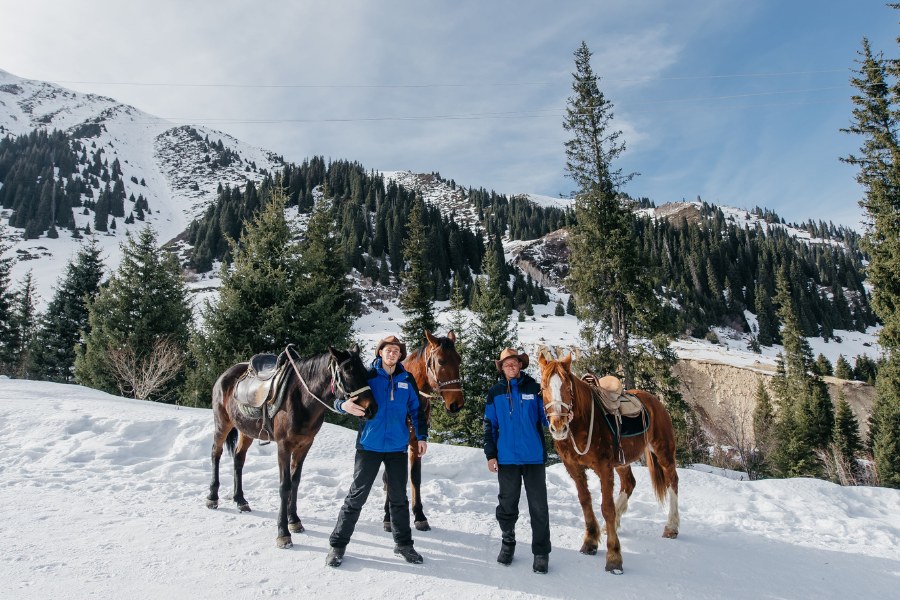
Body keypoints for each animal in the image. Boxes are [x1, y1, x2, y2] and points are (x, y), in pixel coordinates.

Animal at [207, 346, 376, 548]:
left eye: (365, 371)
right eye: (348, 371)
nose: (372, 409)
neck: (303, 399)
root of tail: (225, 375)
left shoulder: (304, 445)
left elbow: (295, 482)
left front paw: (294, 520)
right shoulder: (284, 446)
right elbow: (285, 485)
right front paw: (283, 533)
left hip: (245, 431)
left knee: (239, 459)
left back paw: (240, 500)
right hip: (222, 423)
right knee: (215, 454)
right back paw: (212, 497)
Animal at [382, 330, 464, 532]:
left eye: (459, 360)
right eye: (441, 361)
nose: (456, 404)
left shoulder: (416, 443)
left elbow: (414, 477)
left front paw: (419, 514)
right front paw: (388, 517)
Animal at [536, 354, 680, 576]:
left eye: (568, 387)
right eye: (543, 387)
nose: (558, 427)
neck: (583, 423)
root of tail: (655, 401)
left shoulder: (604, 468)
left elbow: (606, 507)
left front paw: (613, 557)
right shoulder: (574, 468)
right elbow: (585, 501)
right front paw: (590, 541)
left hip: (663, 450)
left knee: (673, 481)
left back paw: (671, 526)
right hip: (622, 461)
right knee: (629, 483)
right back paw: (609, 525)